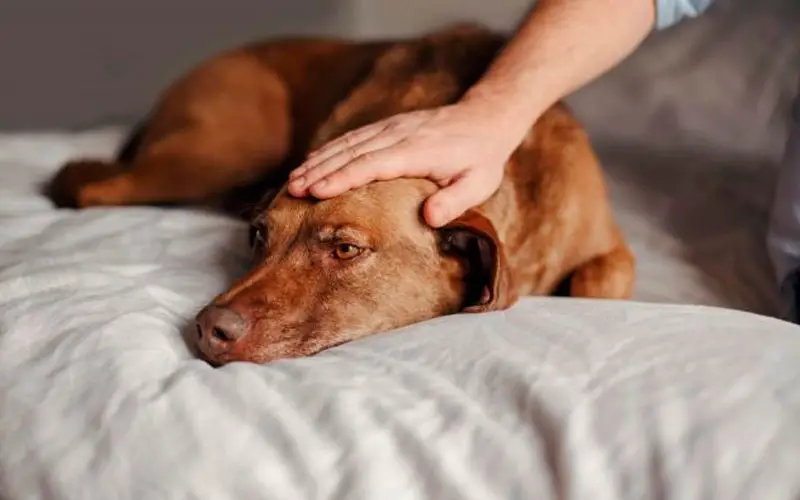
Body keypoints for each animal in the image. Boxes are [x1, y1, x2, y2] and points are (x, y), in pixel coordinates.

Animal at [50, 23, 636, 366]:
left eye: (346, 250)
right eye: (258, 236)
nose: (208, 329)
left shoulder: (611, 249)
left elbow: (601, 279)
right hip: (221, 150)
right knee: (88, 185)